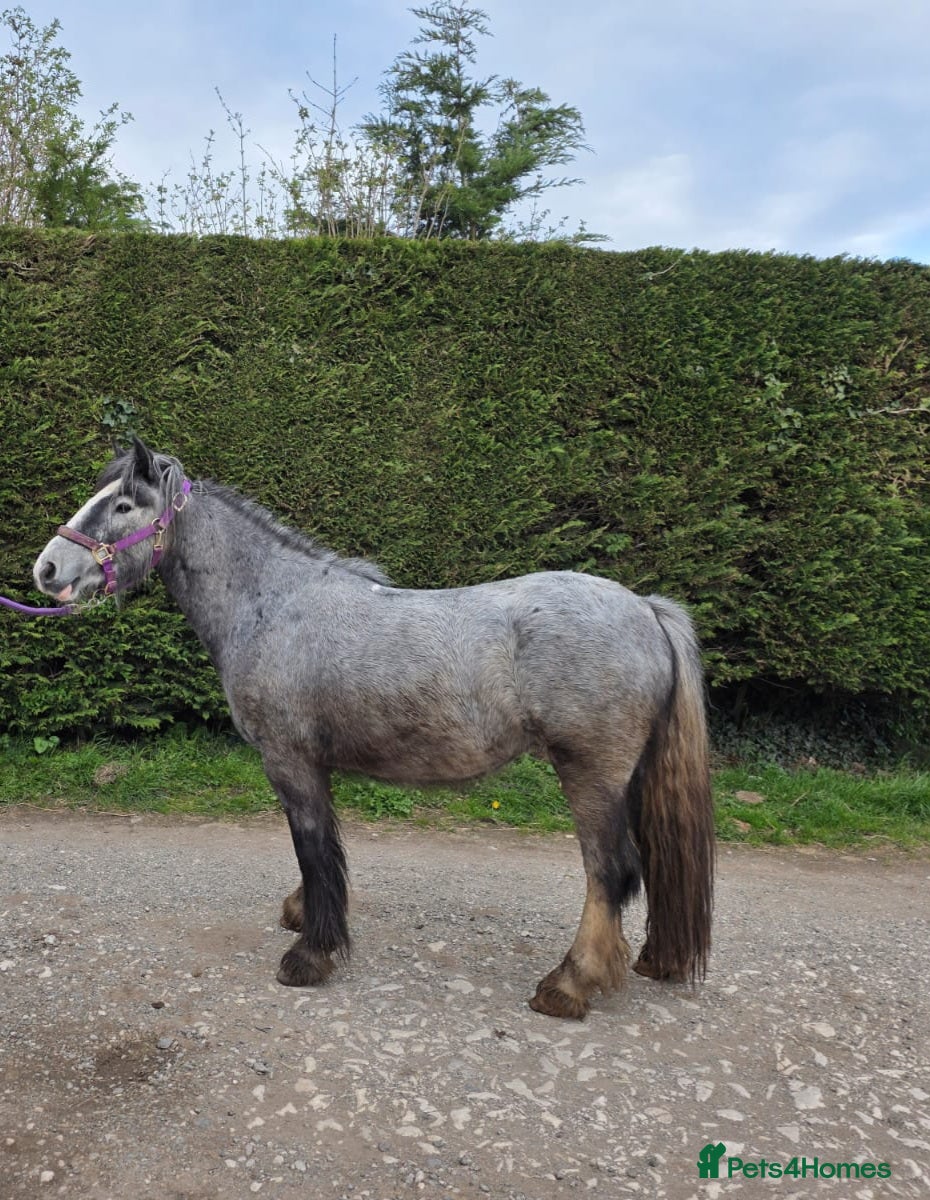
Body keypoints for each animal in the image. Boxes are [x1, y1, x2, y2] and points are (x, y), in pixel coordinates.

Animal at [33, 438, 715, 1019]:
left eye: (123, 504)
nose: (47, 569)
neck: (275, 603)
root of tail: (646, 610)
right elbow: (323, 850)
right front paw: (303, 915)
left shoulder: (289, 760)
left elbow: (312, 846)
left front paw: (310, 956)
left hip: (589, 774)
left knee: (611, 871)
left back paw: (568, 984)